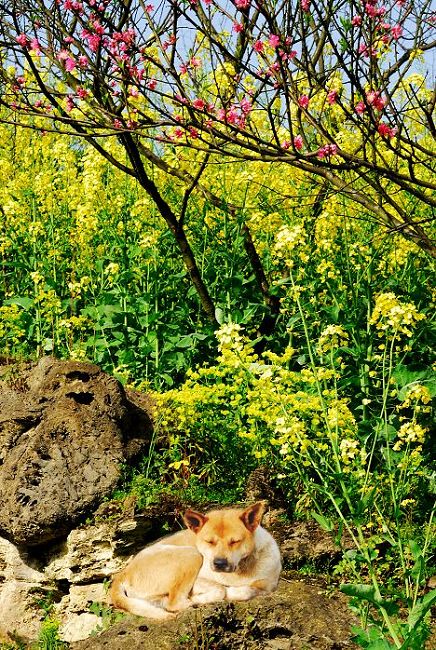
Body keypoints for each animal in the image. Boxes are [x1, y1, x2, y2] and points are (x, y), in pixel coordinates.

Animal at [110, 502, 282, 616]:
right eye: (209, 541)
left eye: (234, 541)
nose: (219, 563)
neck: (239, 570)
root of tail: (123, 573)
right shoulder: (199, 580)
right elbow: (221, 589)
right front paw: (227, 592)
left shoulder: (268, 584)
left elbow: (248, 589)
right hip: (192, 555)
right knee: (174, 603)